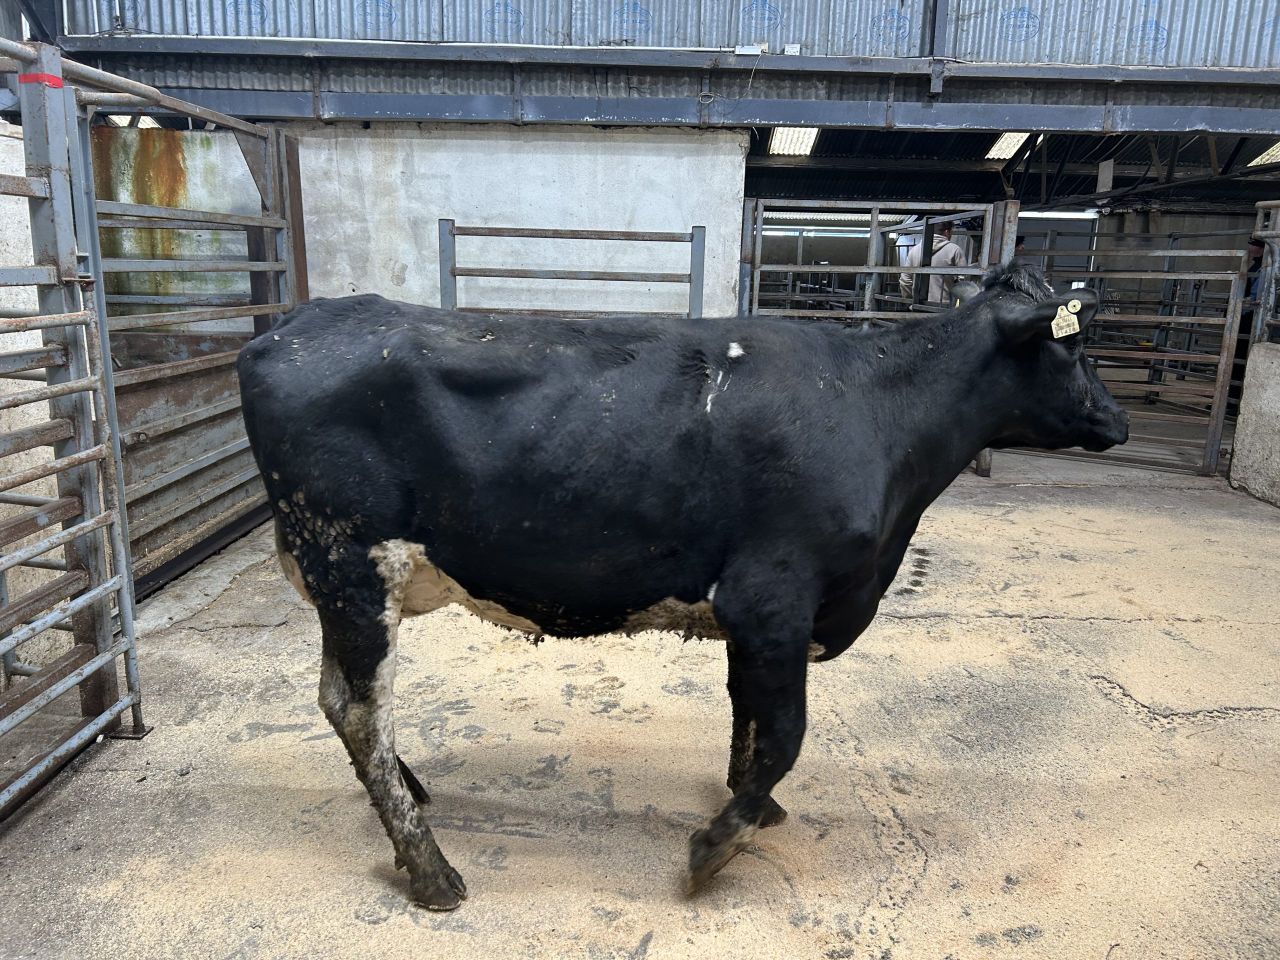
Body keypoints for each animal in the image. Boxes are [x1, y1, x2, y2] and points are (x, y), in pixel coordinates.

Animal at [237, 261, 1128, 910]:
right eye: (1074, 347)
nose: (1118, 421)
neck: (877, 408)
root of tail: (297, 322)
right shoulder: (773, 593)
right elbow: (786, 732)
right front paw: (716, 847)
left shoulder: (755, 612)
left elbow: (749, 713)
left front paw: (751, 804)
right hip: (349, 561)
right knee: (357, 707)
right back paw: (430, 870)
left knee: (345, 703)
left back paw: (413, 794)